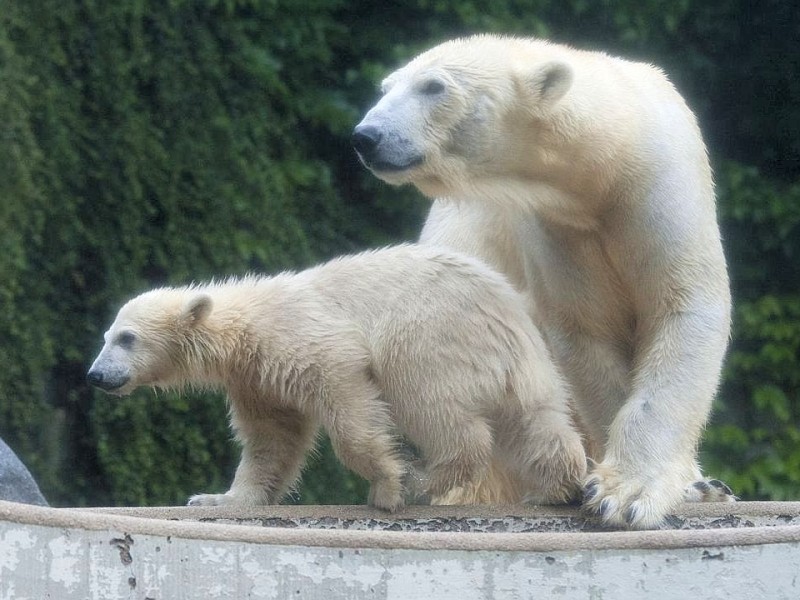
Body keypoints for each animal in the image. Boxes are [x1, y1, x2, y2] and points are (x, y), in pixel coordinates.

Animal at [354, 34, 736, 528]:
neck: (607, 161)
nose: (366, 137)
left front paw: (635, 491)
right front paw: (610, 487)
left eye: (433, 86)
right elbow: (585, 330)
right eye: (387, 87)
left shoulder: (658, 186)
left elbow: (683, 308)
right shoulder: (556, 226)